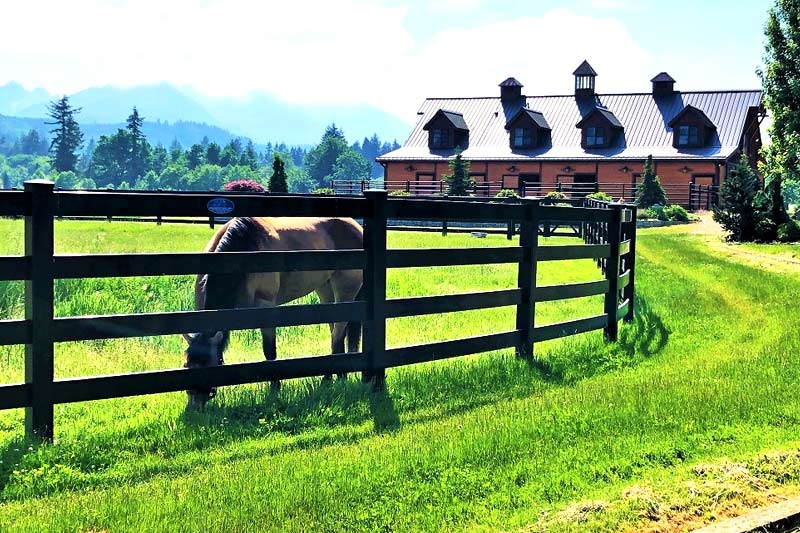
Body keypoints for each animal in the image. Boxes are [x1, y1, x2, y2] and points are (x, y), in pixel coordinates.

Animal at [184, 216, 362, 408]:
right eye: (186, 366)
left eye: (209, 367)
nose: (193, 407)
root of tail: (355, 227)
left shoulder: (265, 307)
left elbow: (269, 351)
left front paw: (275, 390)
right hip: (325, 291)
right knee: (336, 331)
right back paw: (340, 377)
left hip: (345, 292)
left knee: (337, 335)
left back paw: (327, 380)